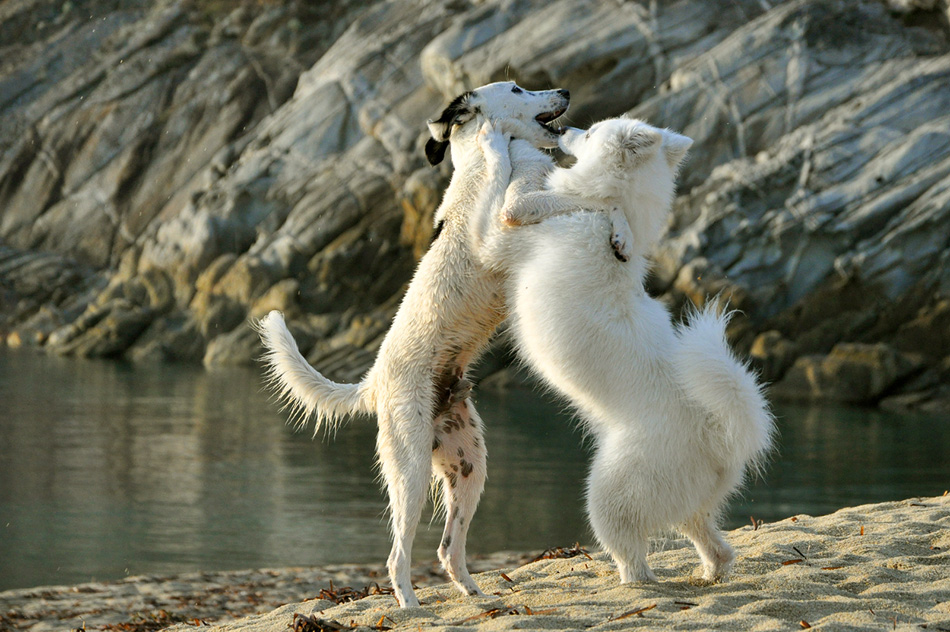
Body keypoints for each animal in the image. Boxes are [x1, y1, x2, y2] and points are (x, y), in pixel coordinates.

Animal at [480, 117, 776, 584]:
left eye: (589, 133)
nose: (565, 127)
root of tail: (718, 433)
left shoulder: (495, 237)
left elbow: (503, 192)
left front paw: (499, 146)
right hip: (687, 506)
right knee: (718, 547)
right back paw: (708, 576)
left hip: (609, 498)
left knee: (635, 561)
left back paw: (633, 582)